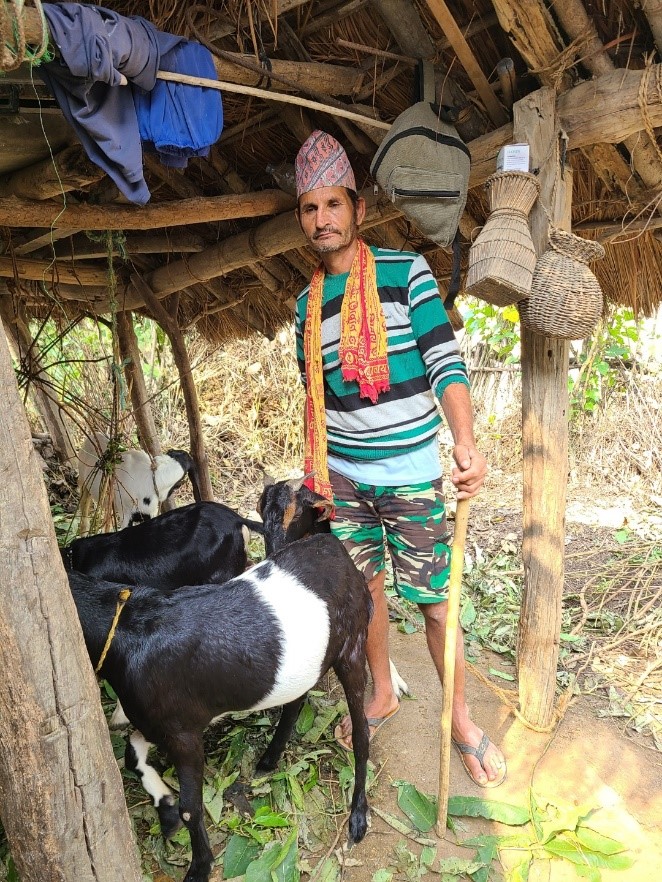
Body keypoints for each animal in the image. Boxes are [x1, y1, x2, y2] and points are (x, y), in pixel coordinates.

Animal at [71, 528, 378, 880]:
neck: (126, 628)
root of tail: (338, 550)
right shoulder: (161, 723)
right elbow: (133, 755)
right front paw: (164, 807)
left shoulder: (183, 734)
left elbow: (190, 808)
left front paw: (198, 867)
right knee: (296, 700)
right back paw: (270, 758)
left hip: (352, 644)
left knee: (361, 732)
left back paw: (358, 816)